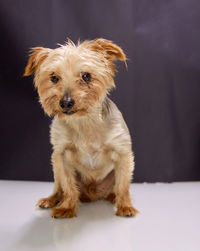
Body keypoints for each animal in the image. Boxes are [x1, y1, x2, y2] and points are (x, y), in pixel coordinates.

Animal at [23, 37, 138, 218]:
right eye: (54, 78)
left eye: (86, 76)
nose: (65, 102)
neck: (84, 122)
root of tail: (92, 194)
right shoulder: (61, 155)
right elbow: (68, 186)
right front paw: (67, 207)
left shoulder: (123, 153)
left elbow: (123, 185)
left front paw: (125, 206)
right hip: (55, 166)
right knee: (59, 186)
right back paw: (52, 199)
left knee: (115, 186)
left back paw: (113, 197)